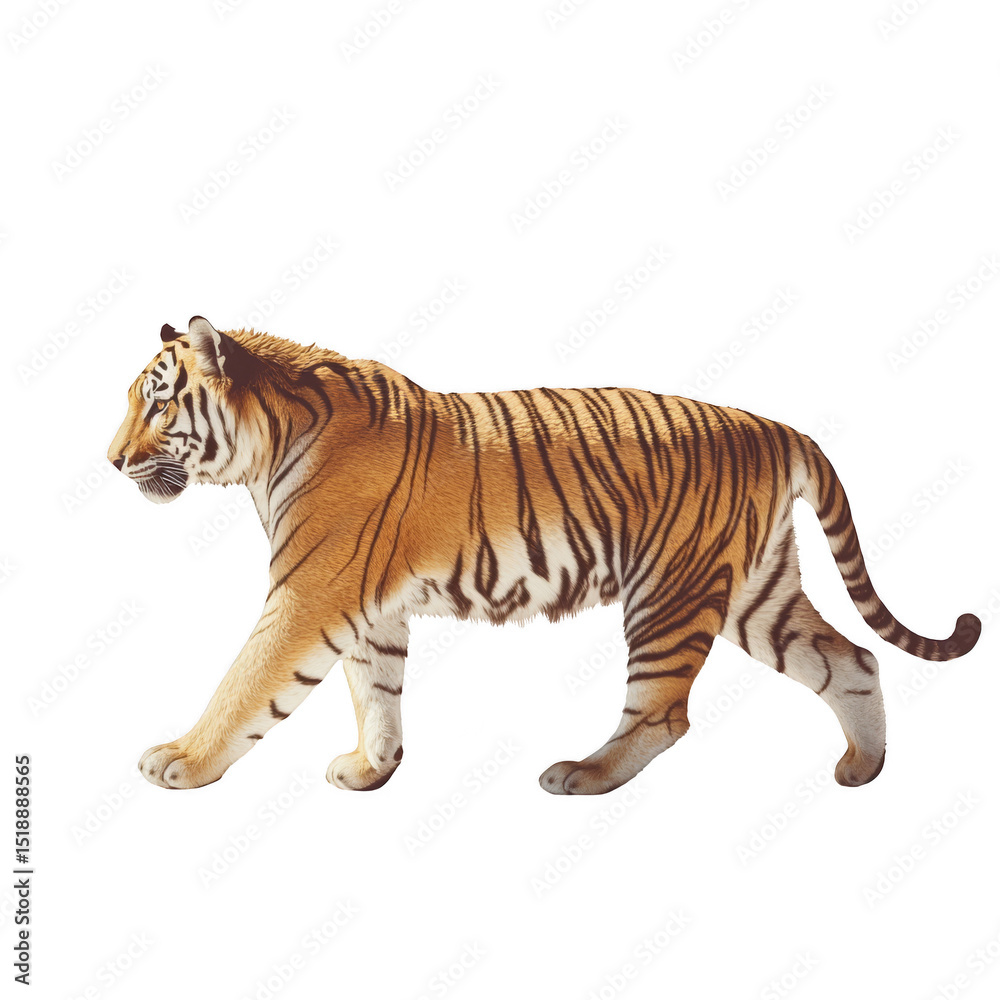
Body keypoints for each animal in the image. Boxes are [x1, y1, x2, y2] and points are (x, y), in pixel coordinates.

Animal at [107, 316, 981, 793]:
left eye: (158, 402)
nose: (111, 462)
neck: (266, 446)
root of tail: (773, 427)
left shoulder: (309, 592)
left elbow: (247, 683)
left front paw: (181, 759)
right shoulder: (370, 605)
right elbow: (376, 691)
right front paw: (372, 768)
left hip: (670, 593)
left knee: (664, 712)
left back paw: (582, 775)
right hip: (755, 592)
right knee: (851, 660)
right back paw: (863, 767)